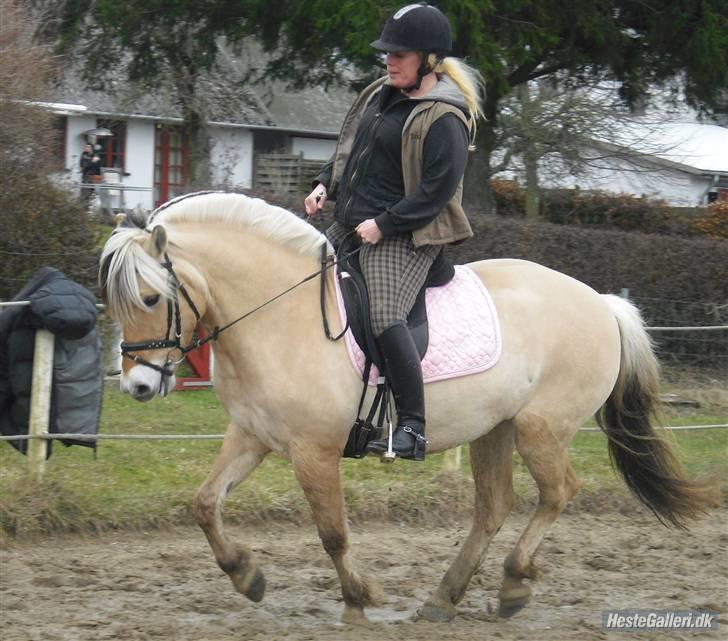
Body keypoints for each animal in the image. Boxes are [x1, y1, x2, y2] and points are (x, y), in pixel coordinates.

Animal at [99, 191, 712, 624]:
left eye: (151, 298)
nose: (138, 386)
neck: (279, 314)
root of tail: (603, 304)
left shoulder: (314, 452)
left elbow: (333, 533)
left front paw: (356, 599)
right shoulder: (252, 436)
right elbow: (204, 504)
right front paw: (245, 575)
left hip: (541, 428)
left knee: (559, 493)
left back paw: (514, 581)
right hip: (496, 428)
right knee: (494, 507)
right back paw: (445, 598)